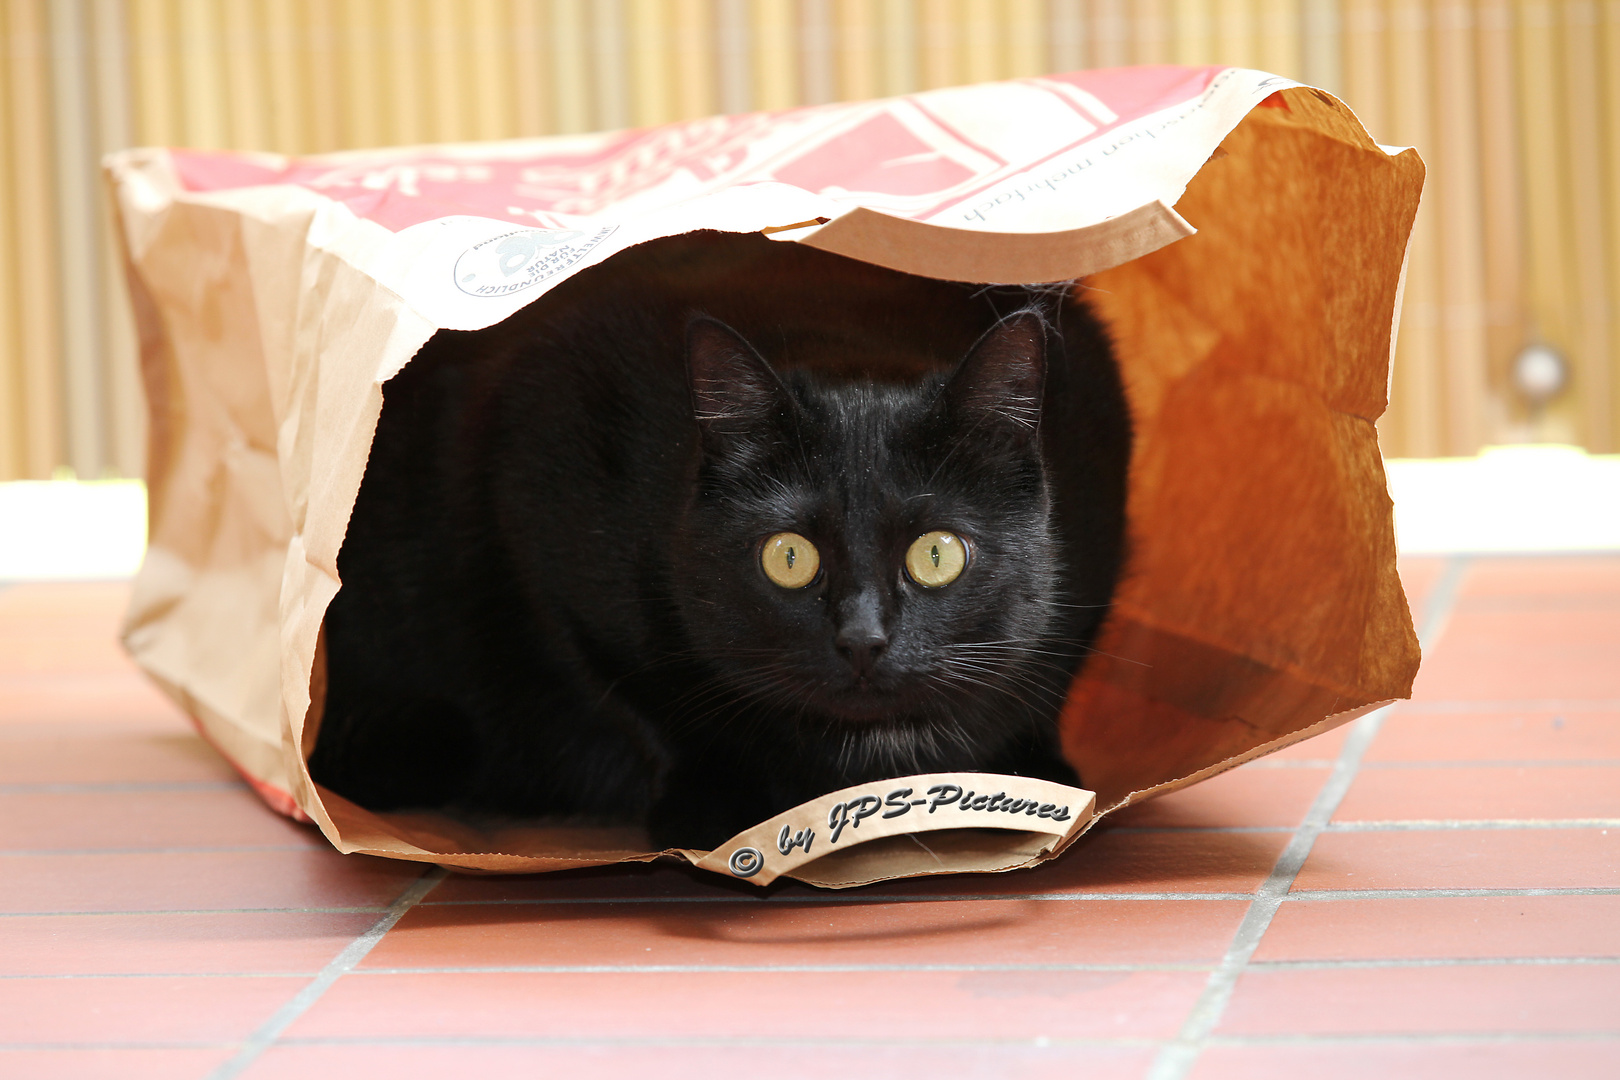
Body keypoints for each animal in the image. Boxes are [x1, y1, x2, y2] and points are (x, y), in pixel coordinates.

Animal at [309, 229, 1134, 854]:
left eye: (936, 555)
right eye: (788, 557)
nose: (863, 640)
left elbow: (1045, 686)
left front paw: (1039, 771)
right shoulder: (537, 480)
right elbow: (644, 700)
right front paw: (715, 803)